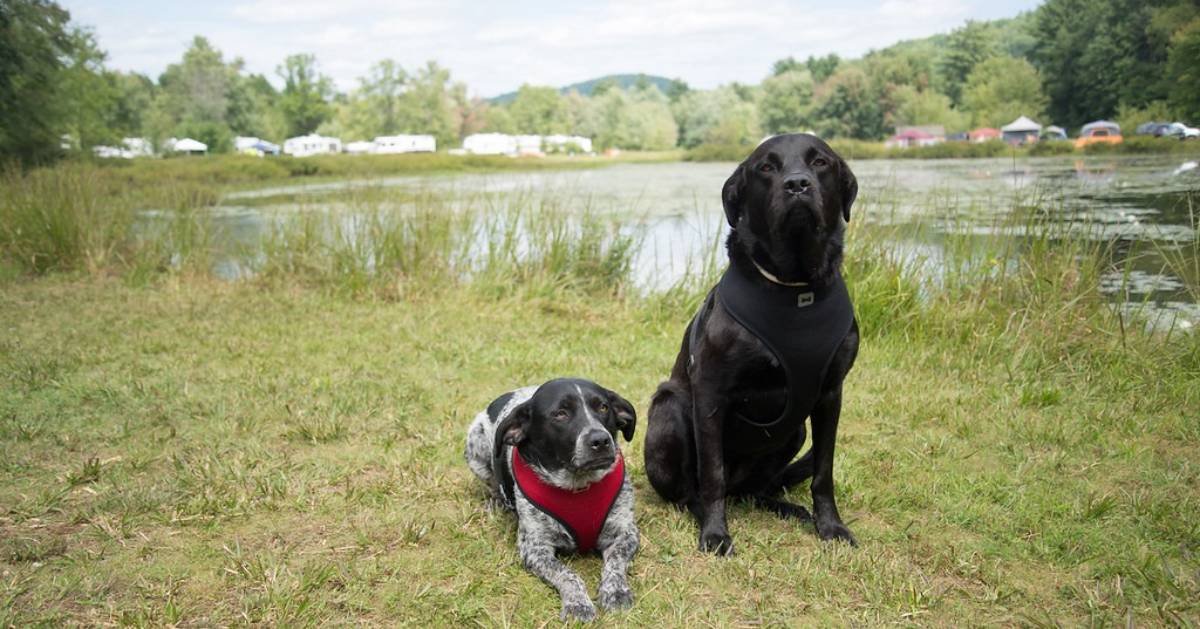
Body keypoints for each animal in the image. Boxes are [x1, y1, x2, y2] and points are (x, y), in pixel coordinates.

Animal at [463, 379, 643, 619]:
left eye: (603, 407)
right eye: (560, 414)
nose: (601, 439)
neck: (578, 487)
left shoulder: (625, 533)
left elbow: (615, 563)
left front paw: (616, 591)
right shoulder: (535, 548)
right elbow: (567, 574)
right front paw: (577, 604)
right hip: (475, 447)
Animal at [643, 133, 859, 554]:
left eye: (820, 162)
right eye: (767, 167)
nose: (797, 184)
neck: (795, 288)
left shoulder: (831, 394)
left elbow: (823, 471)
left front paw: (831, 526)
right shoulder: (710, 393)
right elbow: (711, 474)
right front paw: (714, 533)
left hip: (795, 431)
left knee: (756, 491)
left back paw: (786, 508)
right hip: (670, 409)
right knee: (693, 491)